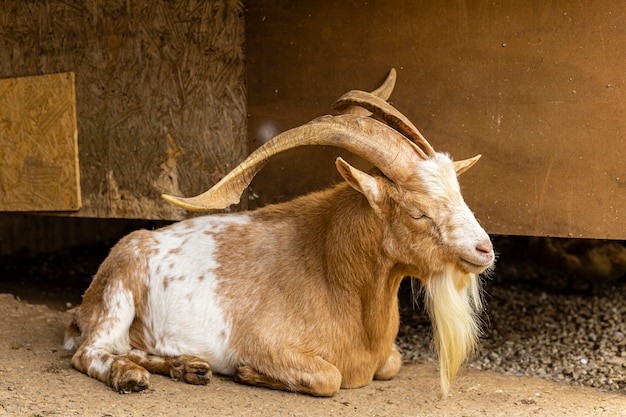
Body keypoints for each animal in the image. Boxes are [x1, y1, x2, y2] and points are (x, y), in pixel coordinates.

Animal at [63, 69, 492, 396]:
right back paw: (131, 376)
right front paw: (246, 372)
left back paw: (189, 367)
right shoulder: (267, 344)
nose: (485, 250)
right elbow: (329, 377)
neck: (332, 273)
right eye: (418, 212)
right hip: (119, 292)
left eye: (458, 193)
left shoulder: (386, 357)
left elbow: (393, 363)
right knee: (90, 351)